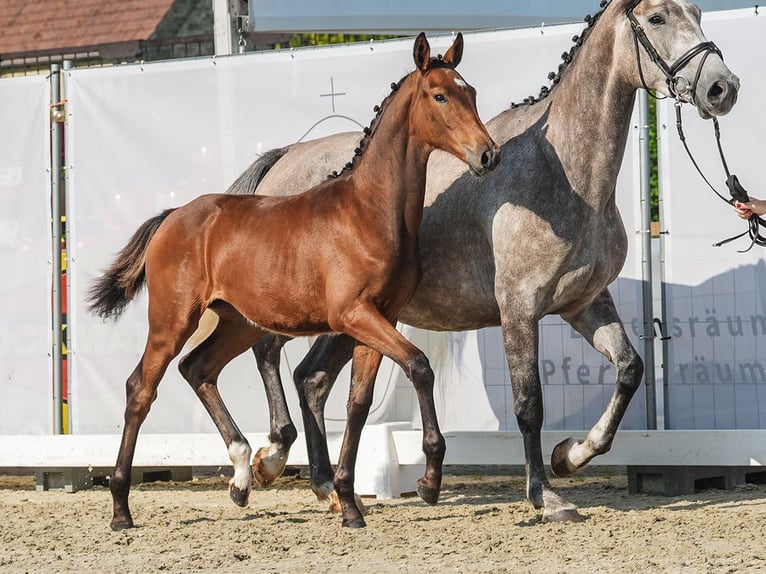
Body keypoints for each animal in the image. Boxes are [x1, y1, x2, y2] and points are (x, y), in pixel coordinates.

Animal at [226, 0, 736, 524]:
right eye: (657, 19)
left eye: (696, 11)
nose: (722, 87)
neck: (567, 177)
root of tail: (285, 159)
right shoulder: (519, 308)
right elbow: (529, 403)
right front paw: (545, 495)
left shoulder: (584, 303)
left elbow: (630, 369)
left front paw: (570, 456)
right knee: (269, 356)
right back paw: (265, 463)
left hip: (349, 322)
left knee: (312, 380)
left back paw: (325, 485)